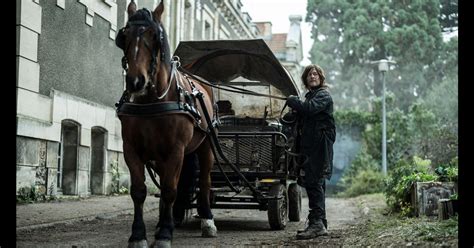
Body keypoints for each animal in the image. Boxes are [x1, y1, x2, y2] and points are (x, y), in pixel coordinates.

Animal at [115, 0, 217, 247]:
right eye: (125, 35)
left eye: (155, 36)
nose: (135, 81)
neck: (152, 101)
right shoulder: (131, 149)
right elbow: (139, 191)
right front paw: (139, 235)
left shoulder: (176, 150)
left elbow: (171, 189)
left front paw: (164, 235)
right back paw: (164, 222)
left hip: (205, 146)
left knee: (205, 181)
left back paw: (207, 220)